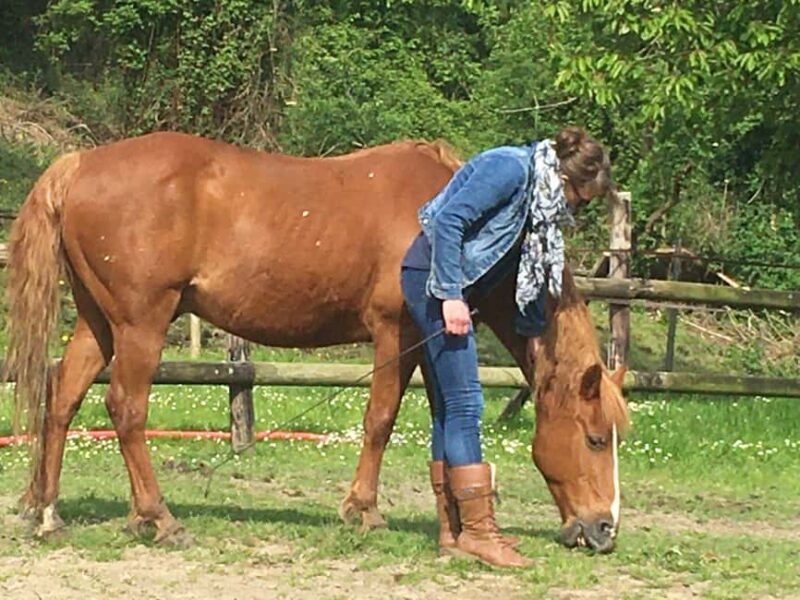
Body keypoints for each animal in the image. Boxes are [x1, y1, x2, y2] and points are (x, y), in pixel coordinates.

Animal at [4, 132, 628, 551]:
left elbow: (445, 420)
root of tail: (80, 164)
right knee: (126, 409)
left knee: (62, 397)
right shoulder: (395, 332)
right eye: (596, 438)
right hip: (141, 325)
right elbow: (380, 420)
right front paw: (363, 510)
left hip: (100, 324)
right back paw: (157, 517)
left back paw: (47, 512)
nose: (603, 529)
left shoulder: (433, 342)